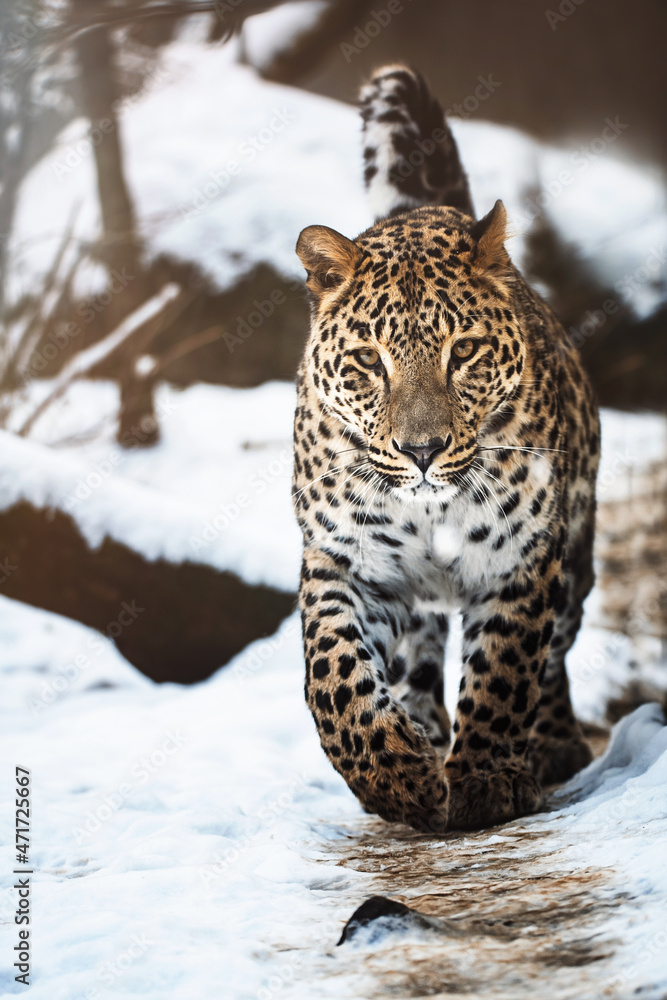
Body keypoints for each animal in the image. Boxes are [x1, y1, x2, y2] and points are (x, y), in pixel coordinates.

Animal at [292, 65, 600, 833]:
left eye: (462, 352)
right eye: (369, 362)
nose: (423, 450)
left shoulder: (521, 560)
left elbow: (505, 671)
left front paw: (485, 781)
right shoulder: (347, 561)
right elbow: (335, 675)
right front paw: (396, 777)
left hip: (574, 559)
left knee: (554, 654)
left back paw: (552, 744)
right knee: (418, 654)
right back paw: (423, 730)